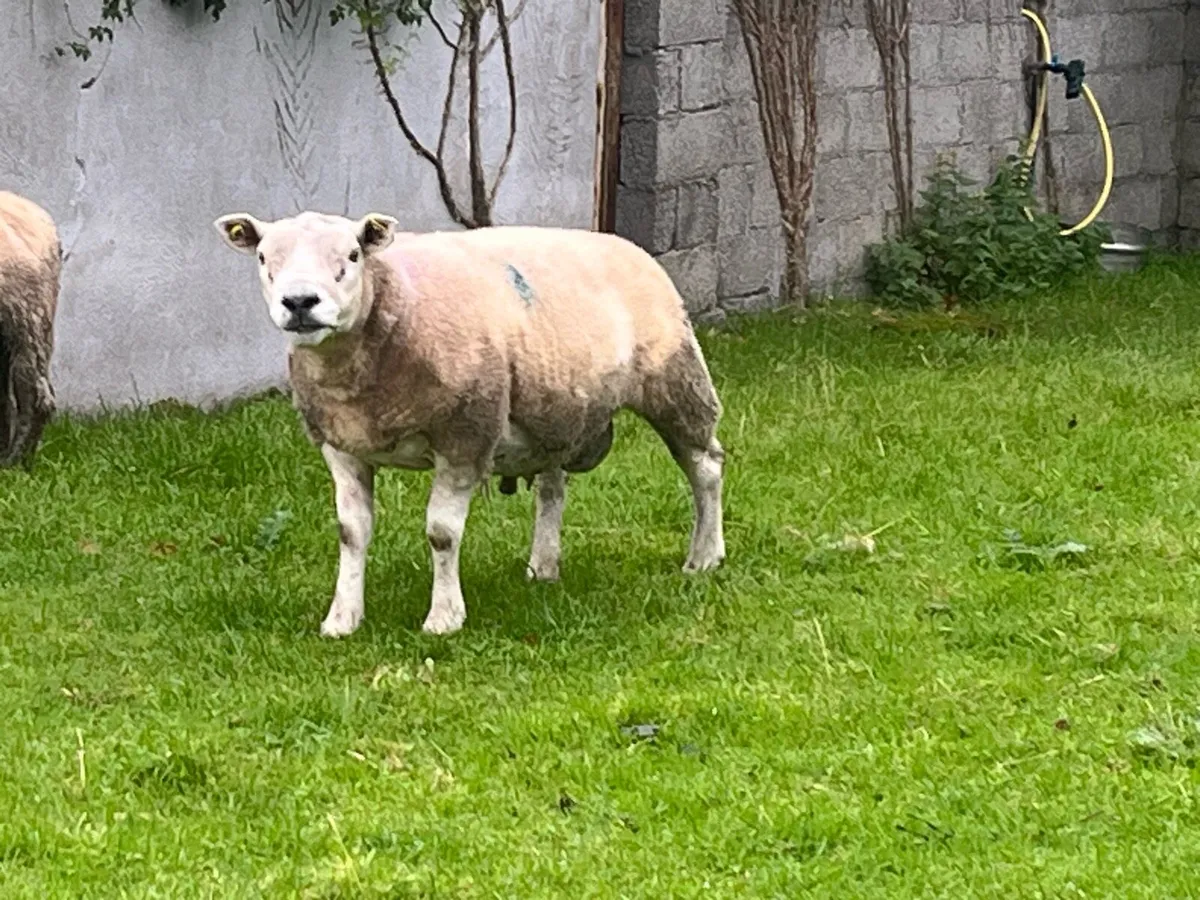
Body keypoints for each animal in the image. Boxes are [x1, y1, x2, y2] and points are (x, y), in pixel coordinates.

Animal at [214, 210, 726, 636]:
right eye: (263, 256)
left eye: (353, 254)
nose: (300, 302)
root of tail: (626, 246)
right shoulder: (342, 446)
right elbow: (351, 532)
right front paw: (342, 620)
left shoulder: (465, 436)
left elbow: (441, 533)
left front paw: (443, 618)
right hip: (552, 411)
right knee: (552, 489)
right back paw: (543, 566)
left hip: (677, 381)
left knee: (706, 467)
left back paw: (704, 557)